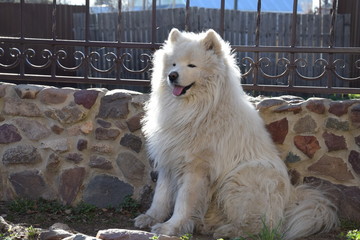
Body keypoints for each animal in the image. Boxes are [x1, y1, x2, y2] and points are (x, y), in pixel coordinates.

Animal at [134, 28, 338, 240]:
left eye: (191, 65)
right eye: (173, 64)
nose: (172, 75)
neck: (195, 109)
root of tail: (291, 197)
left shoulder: (195, 167)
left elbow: (184, 201)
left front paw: (171, 227)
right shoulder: (169, 159)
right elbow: (161, 195)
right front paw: (151, 217)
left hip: (241, 176)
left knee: (263, 226)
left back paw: (226, 230)